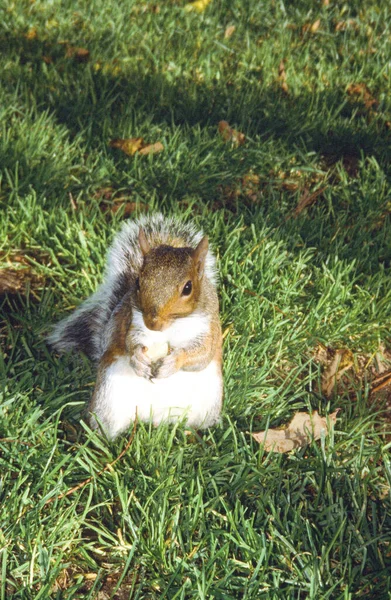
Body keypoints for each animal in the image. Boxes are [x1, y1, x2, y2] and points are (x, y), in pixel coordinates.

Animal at [48, 213, 224, 438]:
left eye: (188, 288)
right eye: (138, 282)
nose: (152, 324)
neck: (170, 329)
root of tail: (155, 418)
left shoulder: (208, 327)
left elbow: (202, 354)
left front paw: (173, 361)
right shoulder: (132, 323)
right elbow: (129, 343)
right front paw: (138, 358)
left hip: (206, 406)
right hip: (108, 402)